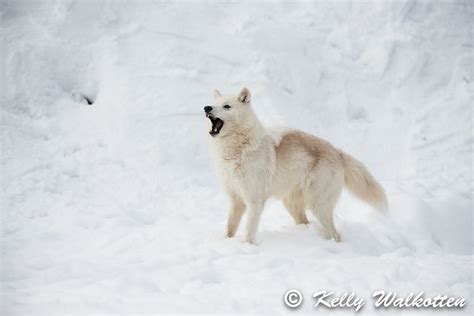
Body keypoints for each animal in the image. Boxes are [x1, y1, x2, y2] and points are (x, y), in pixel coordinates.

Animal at [206, 87, 386, 243]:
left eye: (227, 106)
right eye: (214, 104)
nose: (206, 108)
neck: (236, 149)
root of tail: (338, 152)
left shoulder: (254, 201)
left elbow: (249, 231)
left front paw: (246, 247)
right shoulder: (236, 200)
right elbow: (230, 228)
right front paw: (226, 242)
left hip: (317, 205)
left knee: (336, 235)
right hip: (293, 205)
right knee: (308, 223)